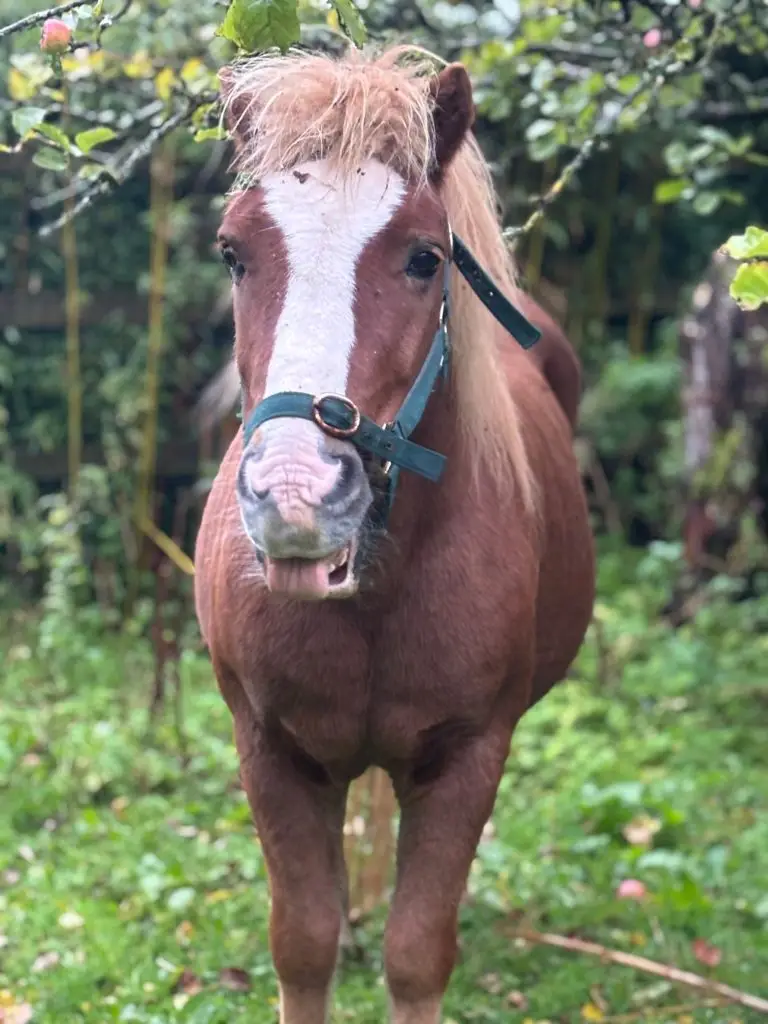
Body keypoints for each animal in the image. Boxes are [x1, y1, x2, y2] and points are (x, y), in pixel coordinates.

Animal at [194, 44, 595, 1024]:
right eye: (233, 252)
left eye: (424, 259)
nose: (298, 495)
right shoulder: (272, 753)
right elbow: (302, 945)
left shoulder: (467, 758)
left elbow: (417, 956)